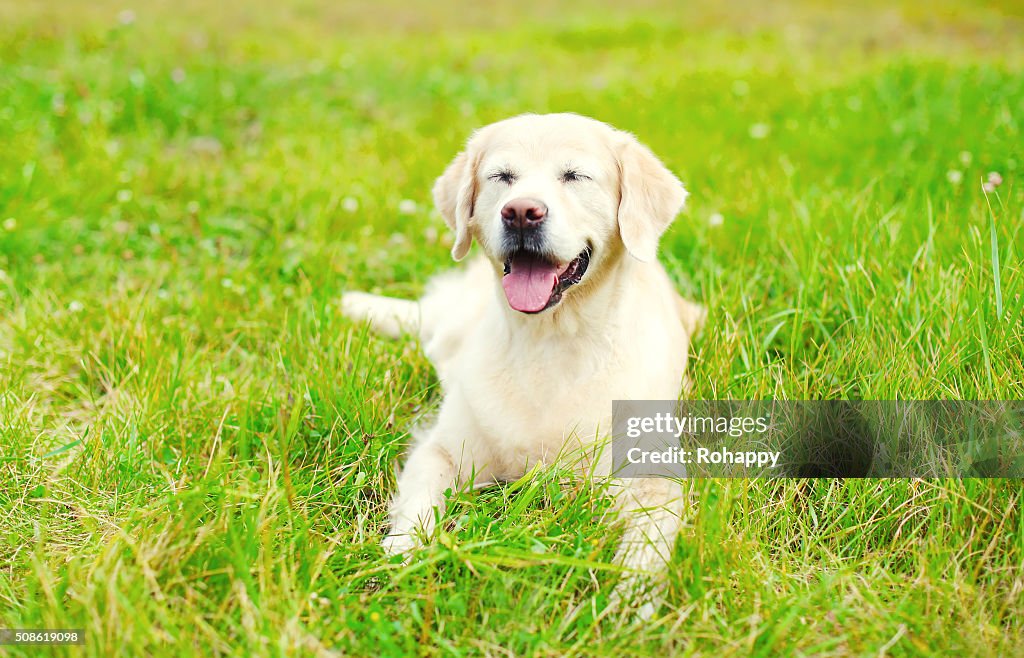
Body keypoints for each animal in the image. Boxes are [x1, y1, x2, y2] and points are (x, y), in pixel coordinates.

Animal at [344, 113, 704, 618]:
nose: (520, 212)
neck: (550, 340)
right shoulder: (444, 449)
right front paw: (401, 558)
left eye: (574, 176)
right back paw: (355, 304)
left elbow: (646, 547)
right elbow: (419, 504)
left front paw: (626, 606)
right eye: (502, 177)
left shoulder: (653, 481)